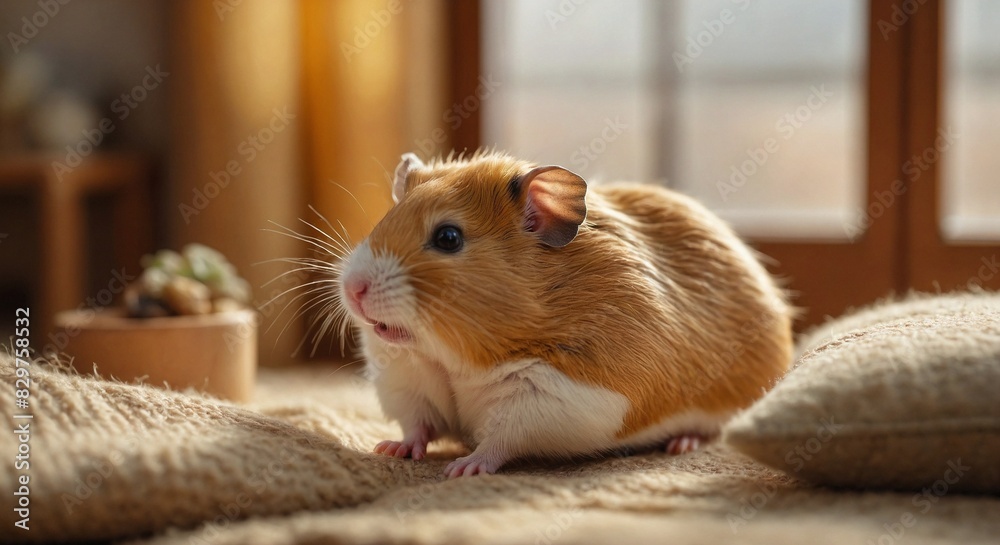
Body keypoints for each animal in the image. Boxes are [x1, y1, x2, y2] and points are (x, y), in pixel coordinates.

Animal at [338, 150, 793, 478]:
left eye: (448, 237)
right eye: (384, 219)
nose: (352, 289)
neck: (454, 359)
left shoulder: (554, 397)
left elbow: (501, 439)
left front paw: (462, 469)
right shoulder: (408, 383)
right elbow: (417, 425)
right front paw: (389, 450)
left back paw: (683, 442)